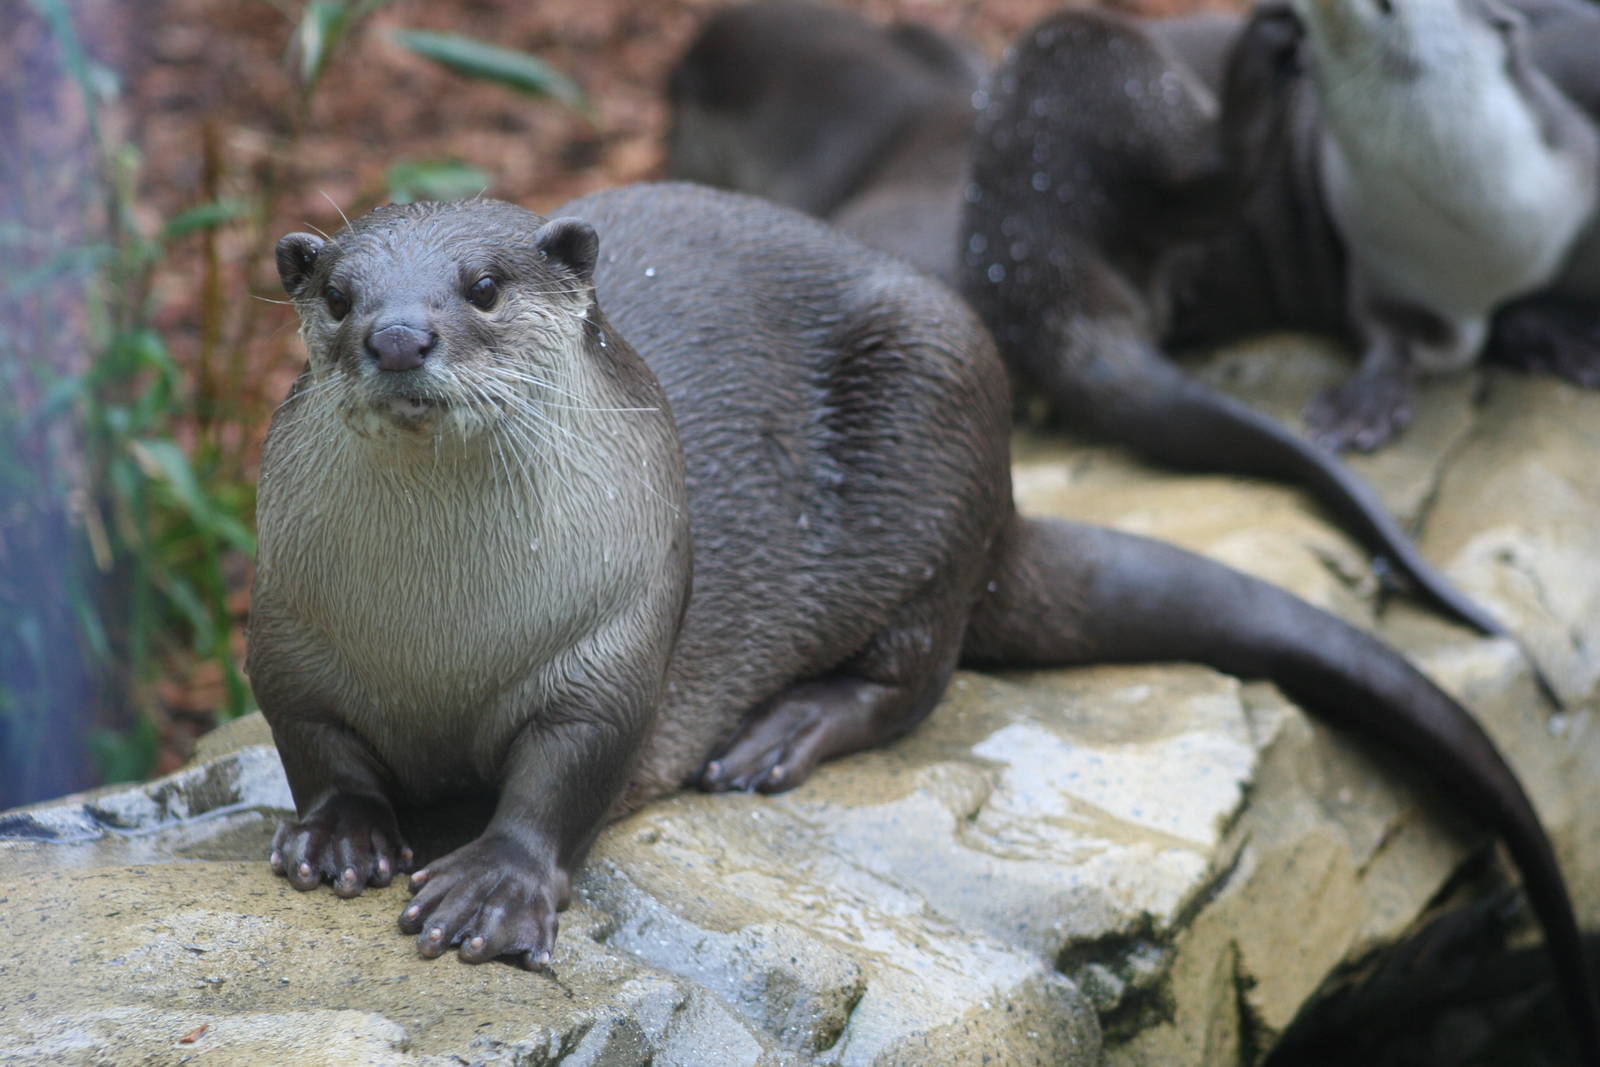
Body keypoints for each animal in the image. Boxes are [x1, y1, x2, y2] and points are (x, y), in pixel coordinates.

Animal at [251, 186, 1597, 1058]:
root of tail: (1007, 493)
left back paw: (780, 734)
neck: (442, 625)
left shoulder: (620, 631)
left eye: (481, 287)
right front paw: (344, 836)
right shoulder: (286, 632)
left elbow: (569, 764)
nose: (398, 333)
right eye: (340, 296)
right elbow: (314, 742)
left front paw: (492, 886)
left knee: (921, 672)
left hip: (937, 415)